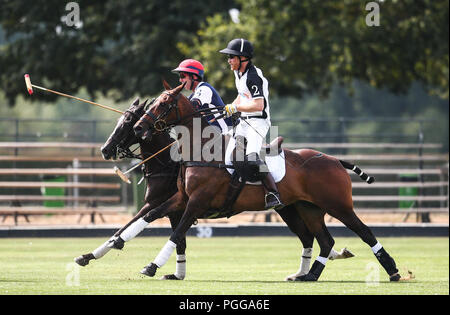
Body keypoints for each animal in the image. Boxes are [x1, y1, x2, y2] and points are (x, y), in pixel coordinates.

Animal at [121, 82, 402, 282]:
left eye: (164, 103)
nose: (138, 128)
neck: (200, 150)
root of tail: (334, 159)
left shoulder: (197, 202)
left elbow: (177, 232)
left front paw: (152, 265)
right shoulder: (182, 198)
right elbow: (150, 215)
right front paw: (119, 243)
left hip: (338, 205)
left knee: (364, 232)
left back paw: (392, 270)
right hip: (307, 208)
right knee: (324, 240)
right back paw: (309, 275)